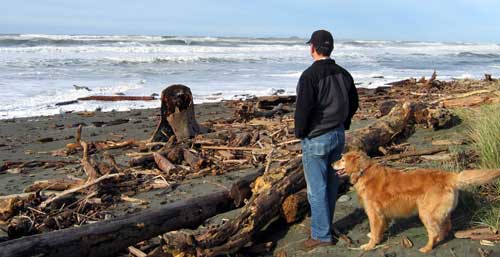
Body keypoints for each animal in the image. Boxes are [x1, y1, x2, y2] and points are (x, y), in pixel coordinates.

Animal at [332, 150, 500, 252]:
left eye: (342, 159)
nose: (332, 163)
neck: (363, 171)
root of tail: (449, 176)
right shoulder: (383, 214)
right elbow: (380, 228)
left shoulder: (374, 213)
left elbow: (375, 230)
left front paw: (370, 245)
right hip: (438, 213)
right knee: (445, 227)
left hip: (425, 213)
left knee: (434, 232)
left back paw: (427, 248)